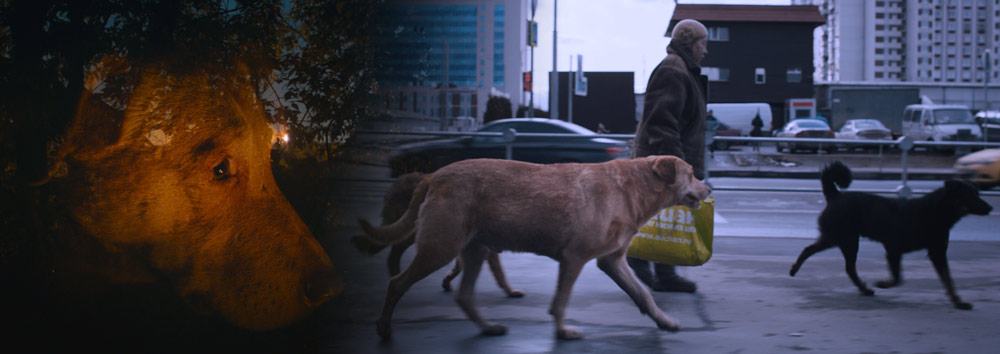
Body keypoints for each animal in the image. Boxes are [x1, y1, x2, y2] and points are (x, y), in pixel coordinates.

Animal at [356, 156, 708, 340]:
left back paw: (488, 327)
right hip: (440, 247)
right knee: (396, 282)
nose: (707, 188)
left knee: (464, 296)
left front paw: (664, 321)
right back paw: (384, 327)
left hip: (474, 250)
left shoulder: (612, 261)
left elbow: (643, 294)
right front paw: (563, 331)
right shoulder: (574, 258)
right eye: (692, 173)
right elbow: (561, 301)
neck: (632, 188)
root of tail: (431, 176)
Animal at [788, 160, 992, 310]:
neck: (936, 212)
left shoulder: (937, 252)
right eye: (970, 195)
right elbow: (897, 278)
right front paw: (883, 283)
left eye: (977, 193)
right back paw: (864, 288)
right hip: (847, 239)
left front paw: (958, 301)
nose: (990, 207)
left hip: (835, 238)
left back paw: (796, 269)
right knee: (847, 266)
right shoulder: (894, 249)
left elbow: (948, 280)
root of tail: (835, 195)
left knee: (810, 250)